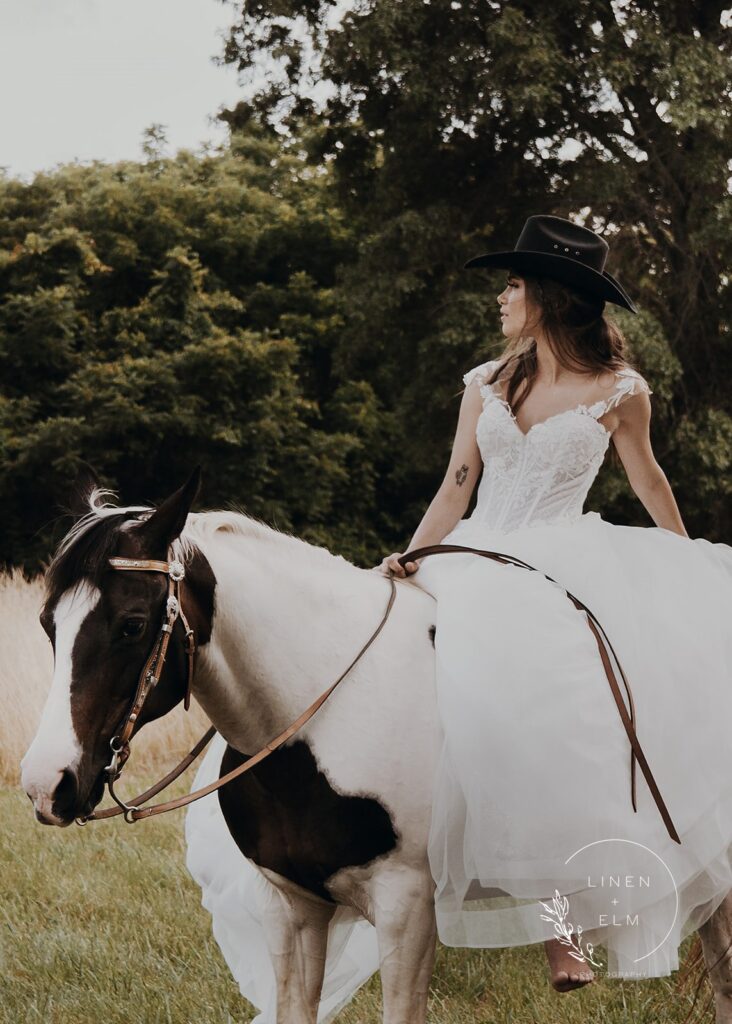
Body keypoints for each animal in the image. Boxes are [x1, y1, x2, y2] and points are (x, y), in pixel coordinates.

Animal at [20, 468, 728, 1019]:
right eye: (49, 622)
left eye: (132, 624)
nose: (45, 783)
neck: (324, 718)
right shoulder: (292, 907)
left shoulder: (406, 907)